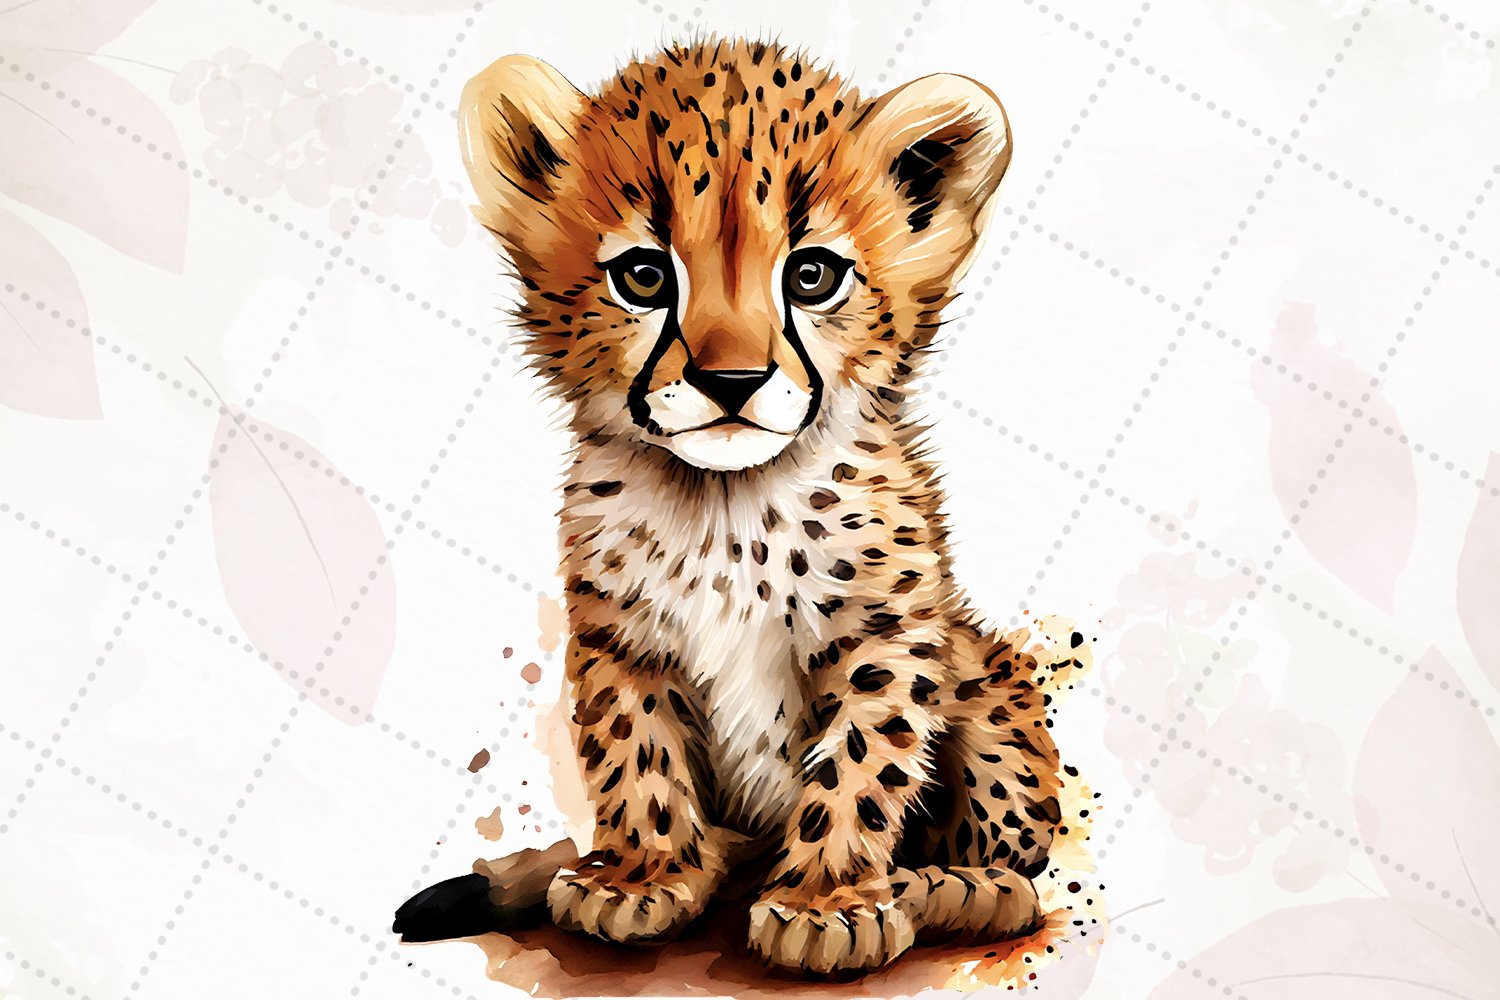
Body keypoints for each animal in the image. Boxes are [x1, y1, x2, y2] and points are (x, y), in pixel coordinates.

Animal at [410, 36, 1079, 978]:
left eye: (812, 275)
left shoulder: (888, 636)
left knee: (1015, 865)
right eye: (644, 276)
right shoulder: (622, 638)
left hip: (990, 691)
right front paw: (645, 875)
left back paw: (946, 887)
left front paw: (827, 902)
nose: (732, 381)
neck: (726, 504)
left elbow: (863, 762)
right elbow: (635, 753)